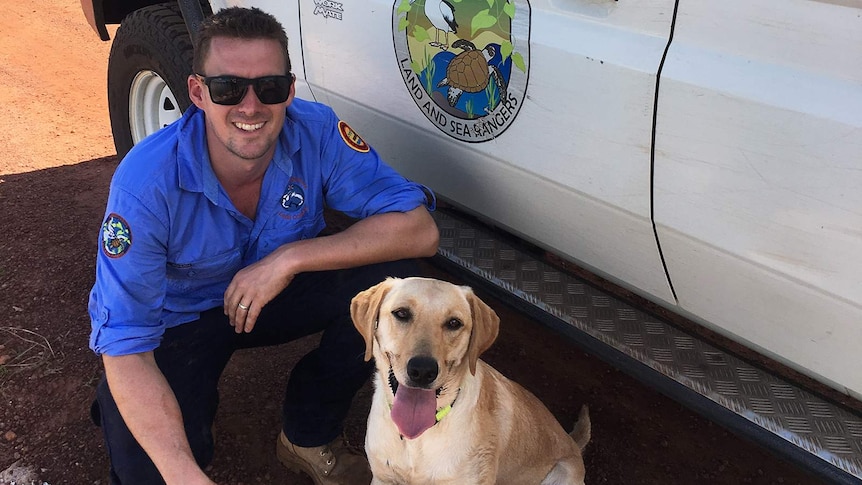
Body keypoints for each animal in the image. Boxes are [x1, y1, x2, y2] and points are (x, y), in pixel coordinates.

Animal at [352, 276, 592, 484]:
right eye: (401, 313)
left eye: (454, 323)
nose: (422, 370)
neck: (419, 436)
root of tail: (572, 442)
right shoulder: (383, 479)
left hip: (561, 473)